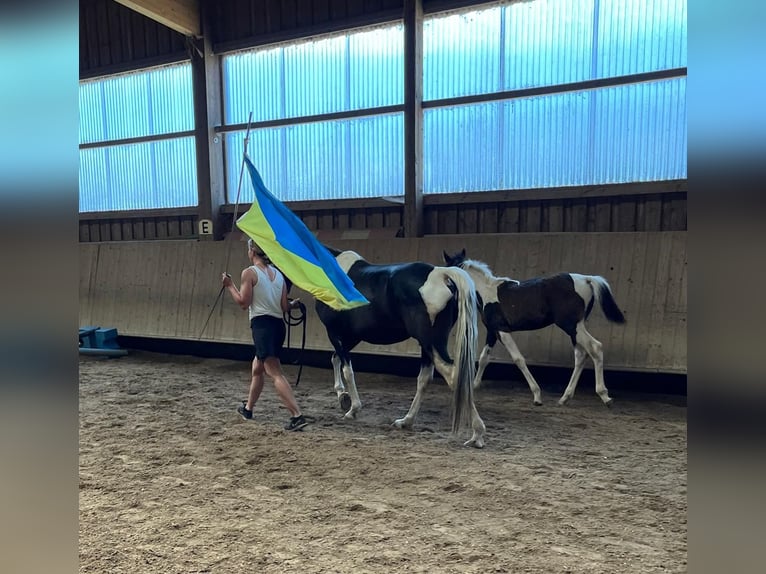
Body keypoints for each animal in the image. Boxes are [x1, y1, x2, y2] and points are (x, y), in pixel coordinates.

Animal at [316, 248, 486, 450]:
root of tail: (440, 273)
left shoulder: (334, 333)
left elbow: (347, 369)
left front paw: (352, 408)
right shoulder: (351, 336)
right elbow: (336, 359)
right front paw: (342, 395)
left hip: (431, 344)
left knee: (453, 375)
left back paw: (477, 433)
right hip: (427, 346)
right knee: (425, 379)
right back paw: (406, 421)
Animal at [440, 250, 628, 408]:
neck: (486, 292)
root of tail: (586, 279)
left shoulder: (502, 331)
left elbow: (518, 359)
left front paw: (537, 396)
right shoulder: (493, 332)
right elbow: (484, 357)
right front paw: (474, 385)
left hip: (572, 326)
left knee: (595, 348)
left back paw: (604, 396)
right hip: (575, 328)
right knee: (581, 356)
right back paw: (565, 397)